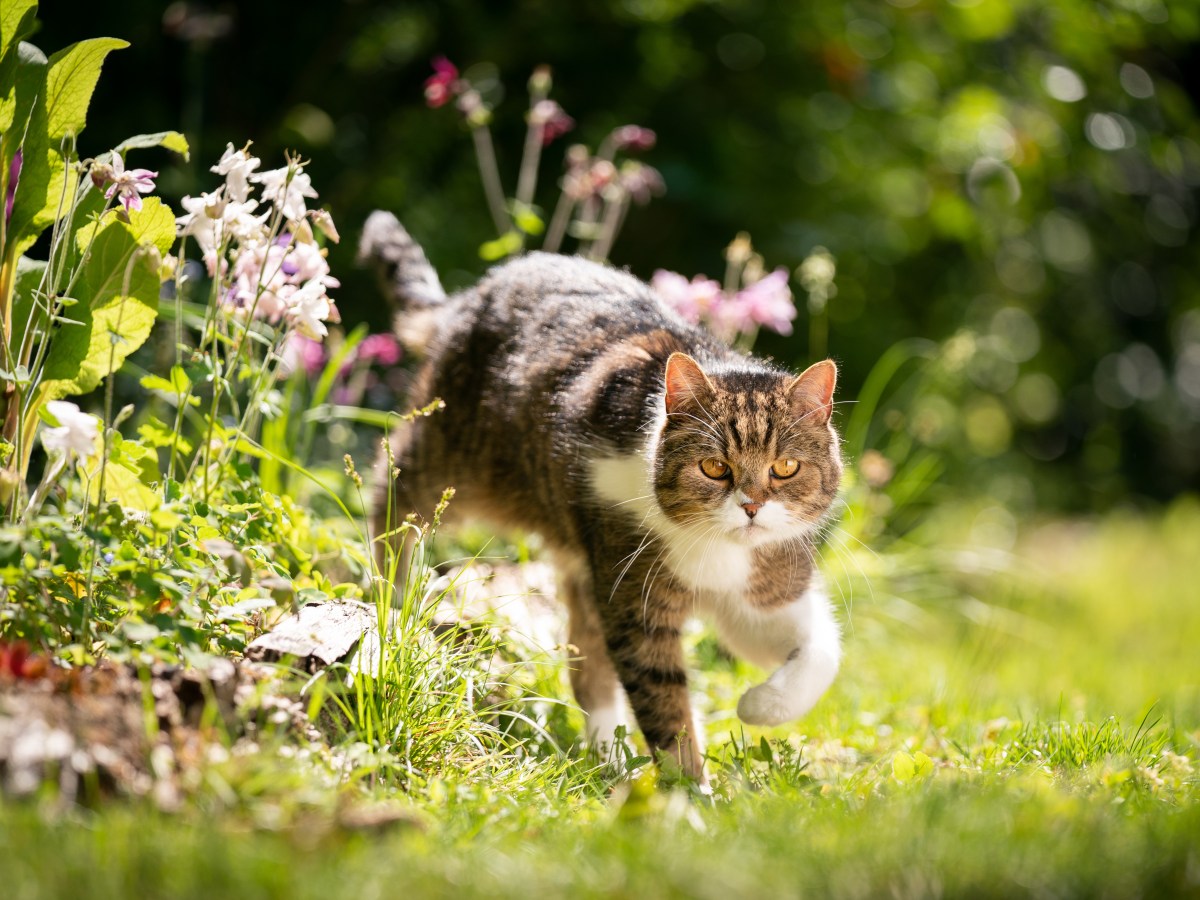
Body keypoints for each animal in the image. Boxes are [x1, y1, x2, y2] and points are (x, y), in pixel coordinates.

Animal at [355, 213, 844, 782]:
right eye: (714, 468)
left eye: (785, 468)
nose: (750, 508)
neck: (717, 550)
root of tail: (472, 295)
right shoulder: (635, 598)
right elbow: (666, 706)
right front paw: (690, 792)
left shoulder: (761, 591)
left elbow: (820, 652)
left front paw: (759, 706)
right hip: (456, 455)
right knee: (393, 489)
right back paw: (392, 588)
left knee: (587, 667)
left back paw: (608, 760)